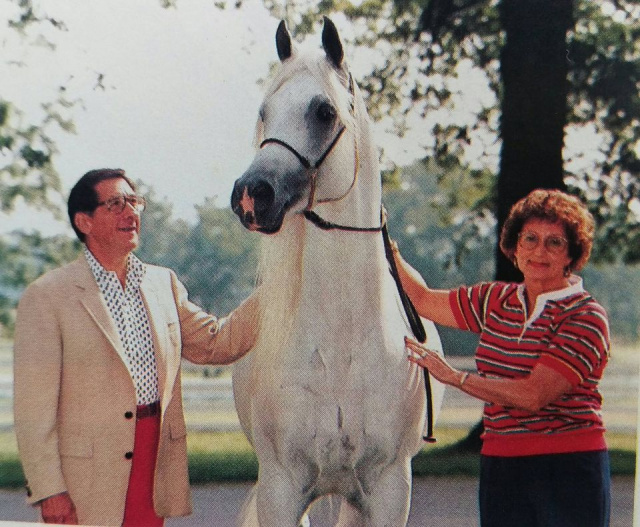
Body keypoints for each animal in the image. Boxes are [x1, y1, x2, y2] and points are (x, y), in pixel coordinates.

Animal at [230, 17, 444, 527]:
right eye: (265, 111)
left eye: (324, 111)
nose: (251, 194)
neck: (341, 344)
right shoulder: (281, 489)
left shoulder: (389, 489)